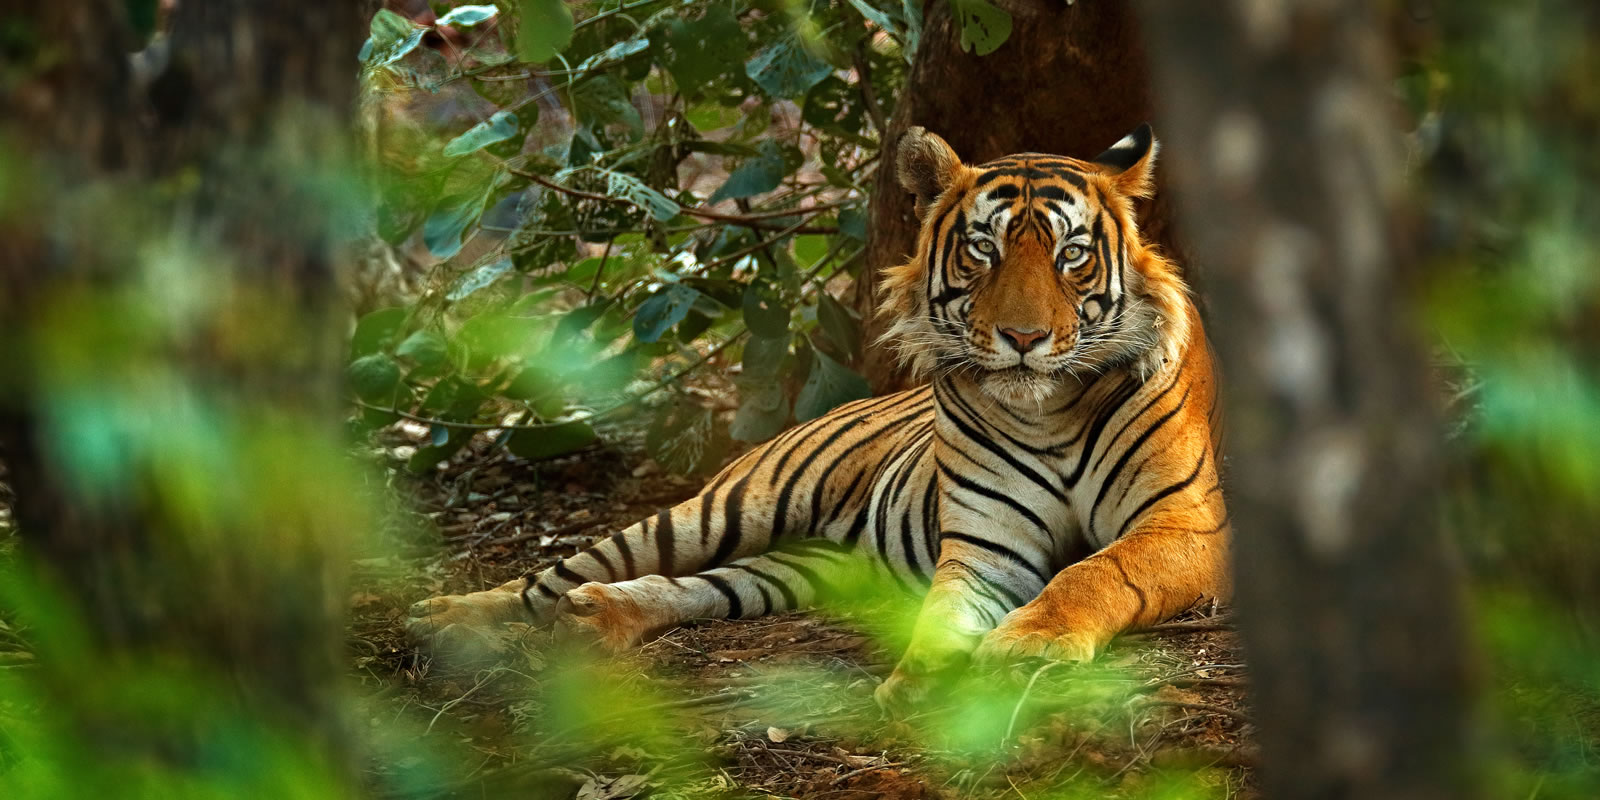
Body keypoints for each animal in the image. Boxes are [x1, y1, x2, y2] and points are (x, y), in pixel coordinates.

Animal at [406, 124, 1231, 709]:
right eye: (983, 250)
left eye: (1072, 256)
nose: (1023, 339)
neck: (1048, 411)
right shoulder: (985, 547)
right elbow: (943, 614)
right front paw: (921, 682)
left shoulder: (1186, 524)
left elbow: (1095, 572)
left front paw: (1027, 645)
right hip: (724, 509)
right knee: (556, 575)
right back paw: (446, 617)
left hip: (806, 566)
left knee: (700, 587)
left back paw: (597, 618)